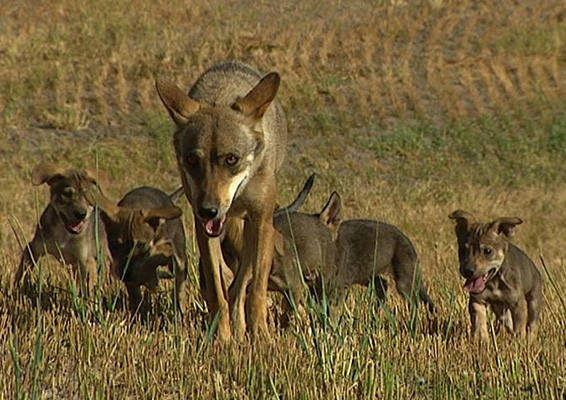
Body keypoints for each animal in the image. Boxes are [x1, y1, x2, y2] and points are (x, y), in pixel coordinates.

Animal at [15, 162, 107, 296]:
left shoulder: (86, 260)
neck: (64, 233)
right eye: (67, 194)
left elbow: (88, 289)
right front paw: (16, 289)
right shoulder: (34, 247)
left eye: (89, 196)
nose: (81, 214)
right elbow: (21, 272)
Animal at [156, 61, 286, 340]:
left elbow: (255, 292)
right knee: (229, 282)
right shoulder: (203, 230)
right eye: (192, 161)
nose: (209, 210)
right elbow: (217, 293)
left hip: (253, 228)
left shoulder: (261, 220)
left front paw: (261, 337)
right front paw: (222, 338)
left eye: (231, 159)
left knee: (241, 284)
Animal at [450, 209, 544, 340]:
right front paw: (482, 340)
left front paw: (520, 342)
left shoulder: (518, 304)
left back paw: (530, 339)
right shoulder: (477, 301)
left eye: (488, 251)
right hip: (501, 312)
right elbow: (479, 322)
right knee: (509, 324)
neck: (494, 282)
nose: (467, 271)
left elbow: (520, 327)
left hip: (534, 300)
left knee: (532, 324)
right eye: (463, 251)